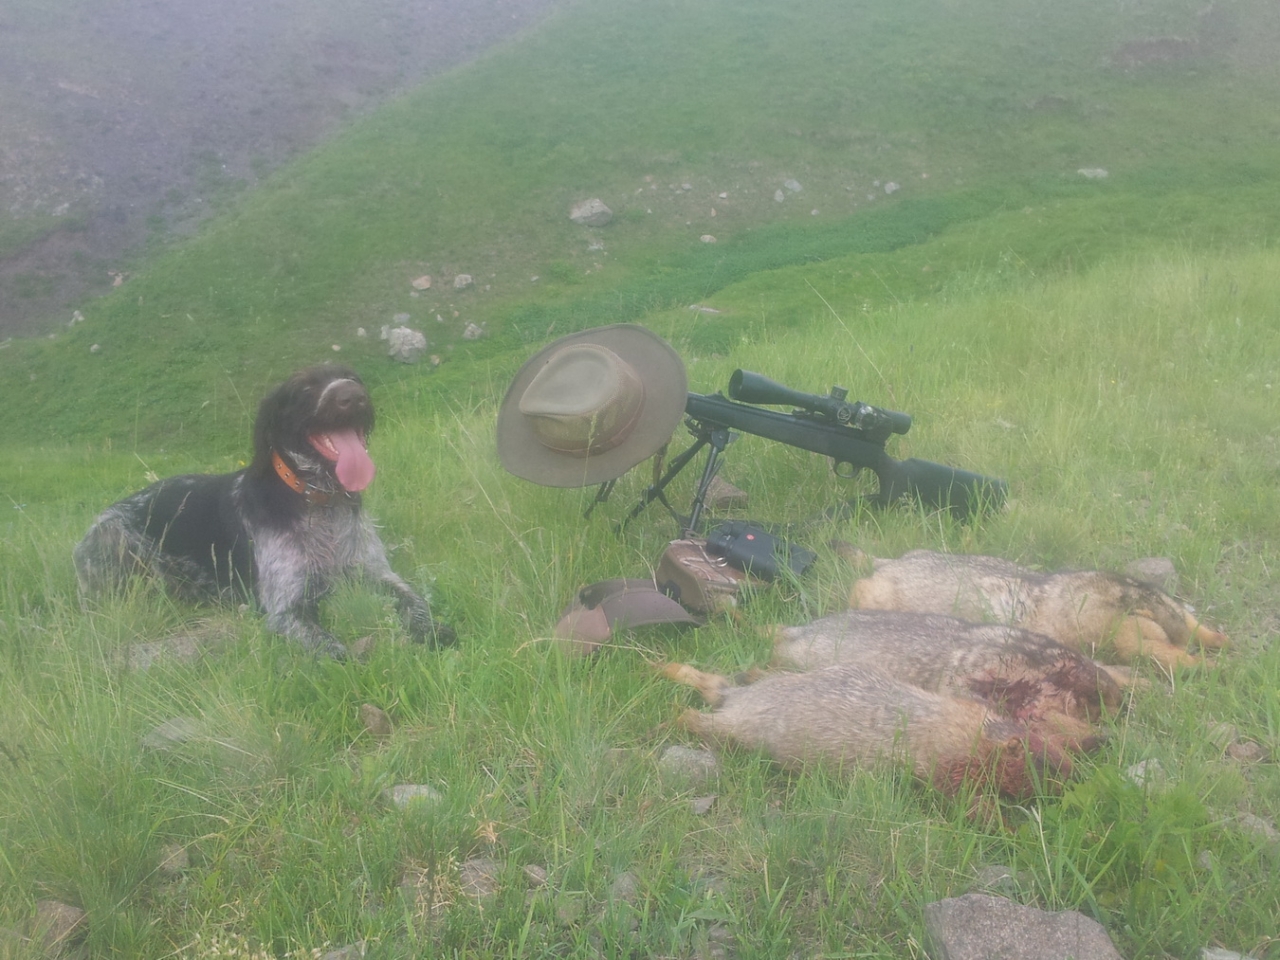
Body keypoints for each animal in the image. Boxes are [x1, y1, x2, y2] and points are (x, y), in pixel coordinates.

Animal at [74, 364, 454, 657]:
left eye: (352, 377)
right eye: (305, 387)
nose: (353, 394)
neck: (319, 503)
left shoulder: (378, 574)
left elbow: (414, 601)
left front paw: (432, 630)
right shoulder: (287, 608)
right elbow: (330, 648)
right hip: (116, 539)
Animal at [661, 662, 1092, 801]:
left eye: (1057, 752)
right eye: (1044, 765)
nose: (1076, 777)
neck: (981, 732)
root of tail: (739, 699)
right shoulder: (949, 763)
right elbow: (961, 797)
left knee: (719, 683)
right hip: (749, 730)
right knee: (706, 720)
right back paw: (675, 715)